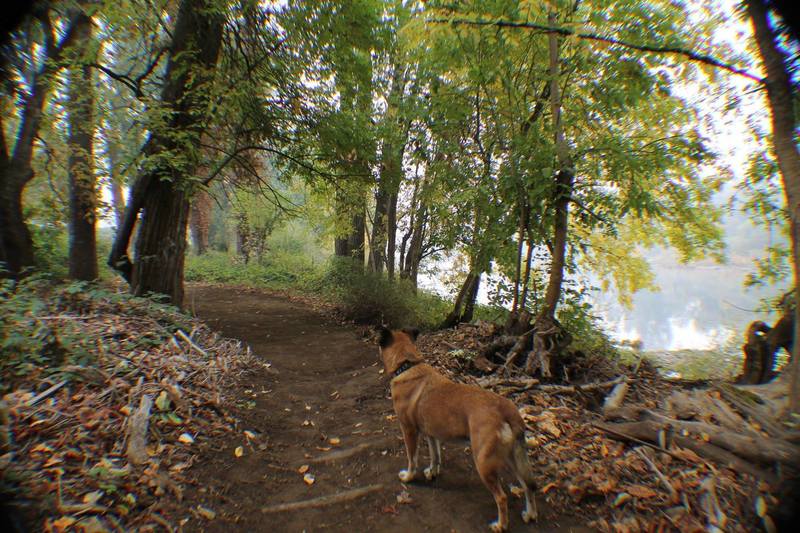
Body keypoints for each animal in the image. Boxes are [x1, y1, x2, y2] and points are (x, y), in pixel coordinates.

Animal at [376, 326, 536, 528]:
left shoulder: (409, 430)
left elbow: (412, 459)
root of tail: (506, 409)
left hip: (483, 461)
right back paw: (530, 514)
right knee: (527, 486)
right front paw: (432, 472)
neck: (407, 365)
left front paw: (409, 477)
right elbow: (435, 456)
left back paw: (500, 525)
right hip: (512, 457)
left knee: (501, 497)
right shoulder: (431, 434)